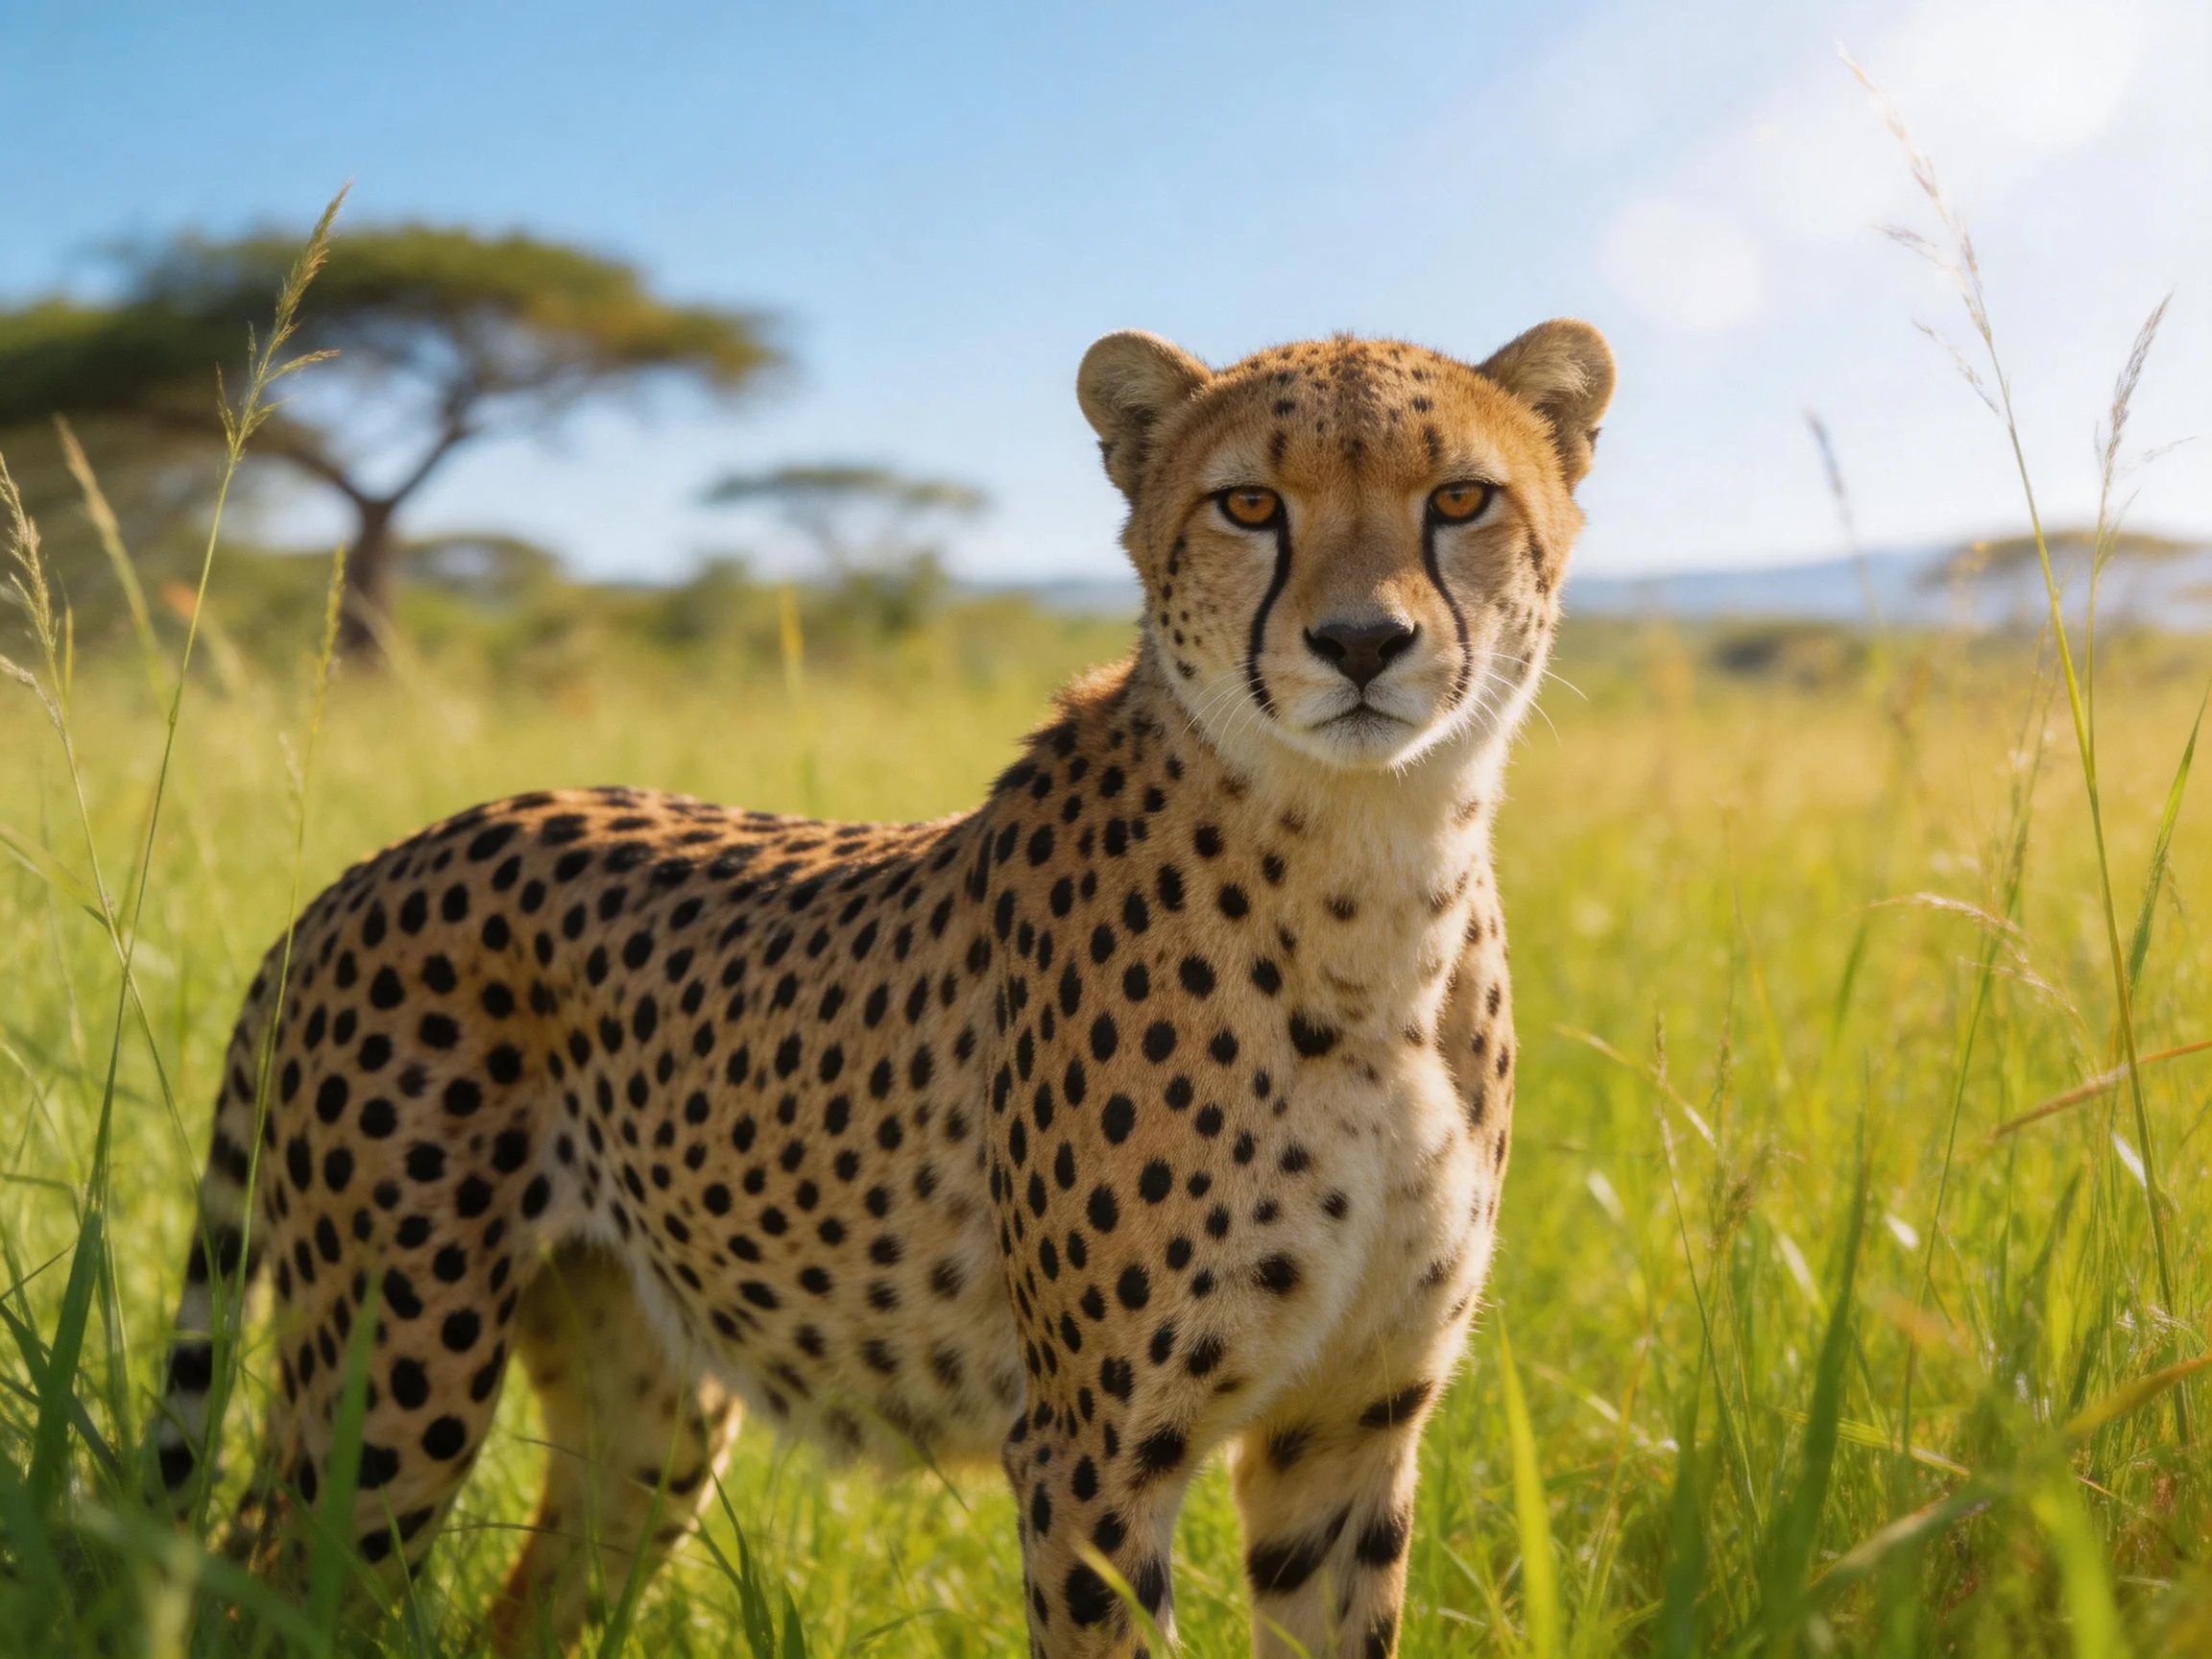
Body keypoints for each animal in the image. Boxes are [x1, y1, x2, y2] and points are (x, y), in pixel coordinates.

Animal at [152, 316, 1613, 1657]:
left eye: (1460, 499)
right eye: (1250, 504)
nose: (1363, 641)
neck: (1377, 869)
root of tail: (369, 867)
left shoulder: (1347, 1433)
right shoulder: (1090, 1453)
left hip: (642, 1409)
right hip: (395, 1372)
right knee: (256, 1577)